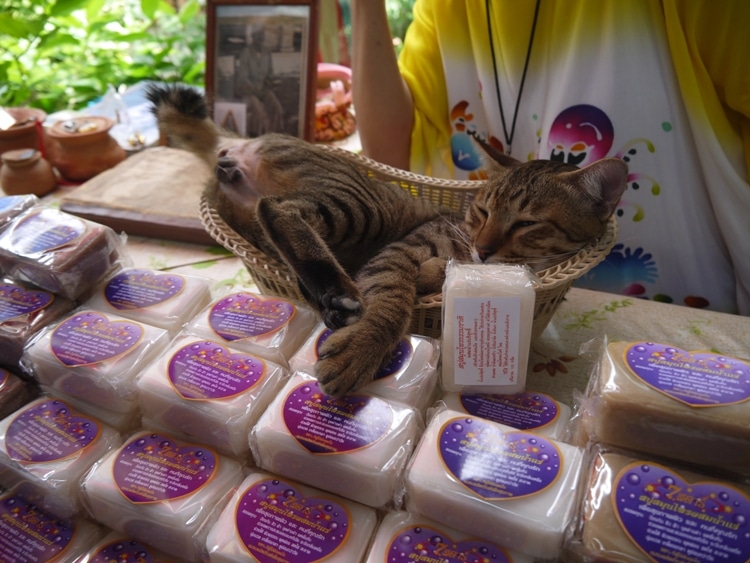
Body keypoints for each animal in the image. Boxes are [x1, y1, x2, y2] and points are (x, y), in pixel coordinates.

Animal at [147, 85, 628, 396]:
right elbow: (392, 302)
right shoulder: (403, 250)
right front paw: (363, 348)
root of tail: (247, 139)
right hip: (357, 208)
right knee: (279, 210)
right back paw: (337, 293)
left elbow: (428, 278)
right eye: (483, 211)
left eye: (527, 223)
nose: (483, 247)